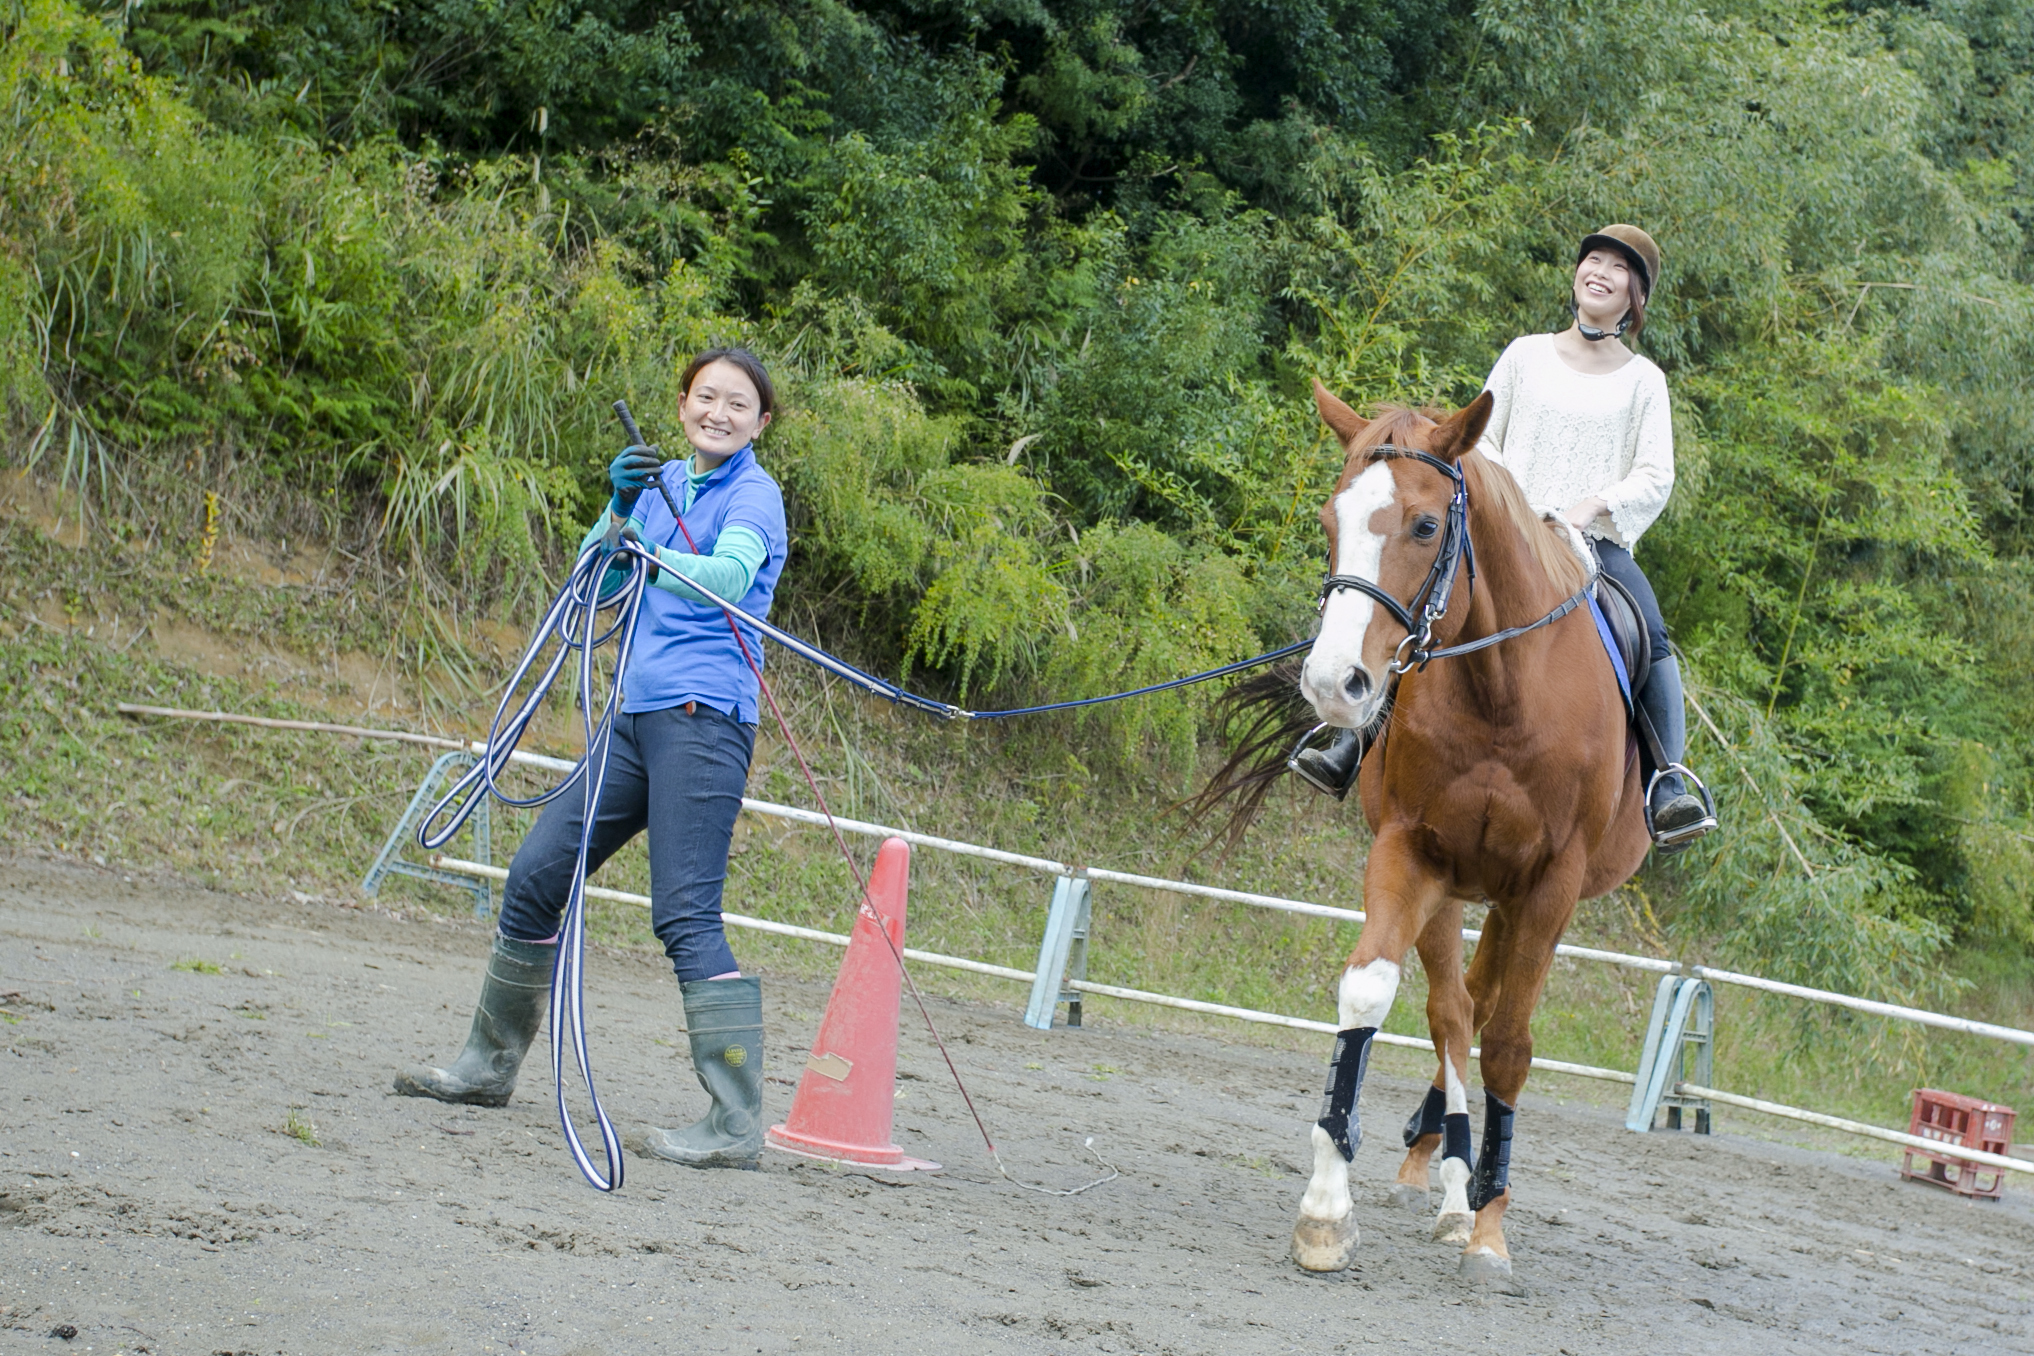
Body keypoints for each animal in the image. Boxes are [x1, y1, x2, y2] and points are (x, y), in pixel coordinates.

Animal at [1212, 384, 1643, 1284]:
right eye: (1330, 518)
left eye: (1423, 526)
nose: (1333, 683)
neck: (1500, 690)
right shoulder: (1412, 850)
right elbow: (1373, 991)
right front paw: (1327, 1212)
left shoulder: (1551, 884)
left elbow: (1511, 1043)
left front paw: (1491, 1227)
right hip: (1458, 890)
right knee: (1453, 1011)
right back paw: (1442, 1172)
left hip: (1515, 899)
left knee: (1481, 1014)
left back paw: (1466, 1193)